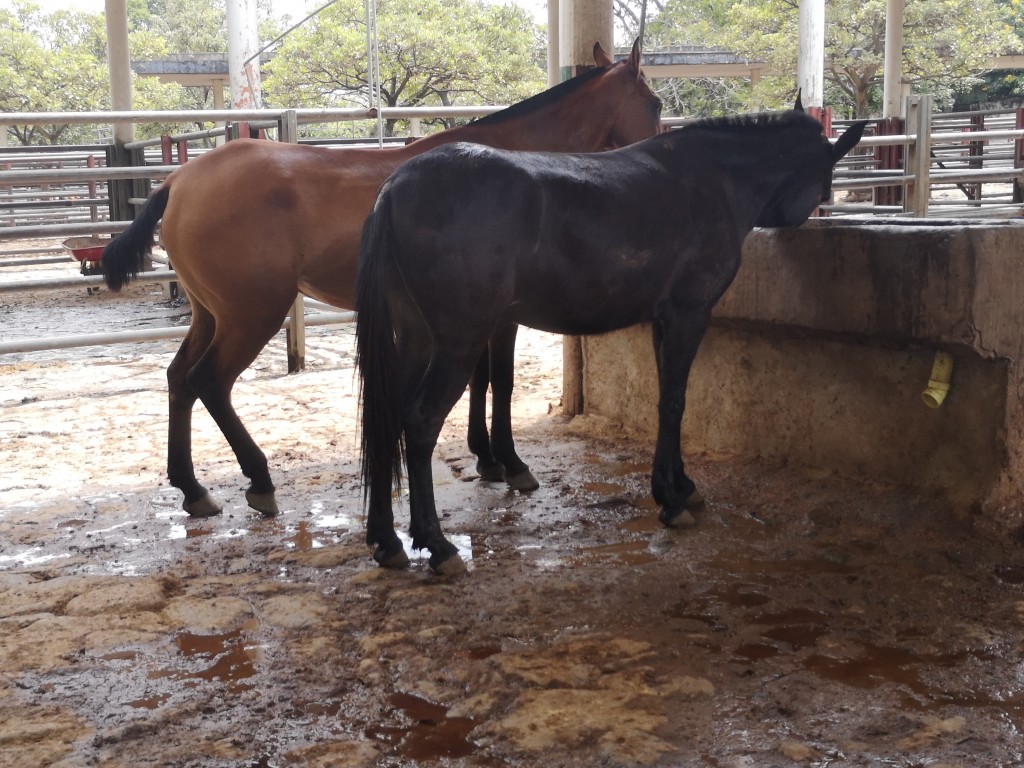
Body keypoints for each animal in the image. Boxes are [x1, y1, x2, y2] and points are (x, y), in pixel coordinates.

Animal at [100, 41, 662, 519]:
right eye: (655, 104)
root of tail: (179, 181)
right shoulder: (500, 318)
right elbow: (500, 381)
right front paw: (511, 463)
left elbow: (480, 381)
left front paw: (486, 458)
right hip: (252, 315)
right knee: (210, 382)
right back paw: (259, 481)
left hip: (210, 314)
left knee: (179, 380)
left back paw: (193, 489)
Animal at [356, 104, 867, 575]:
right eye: (826, 180)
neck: (715, 179)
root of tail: (394, 188)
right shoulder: (689, 314)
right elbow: (675, 402)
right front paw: (670, 500)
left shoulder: (663, 320)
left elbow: (666, 400)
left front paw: (681, 486)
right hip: (457, 343)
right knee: (421, 422)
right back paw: (437, 545)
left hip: (417, 339)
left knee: (389, 416)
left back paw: (386, 540)